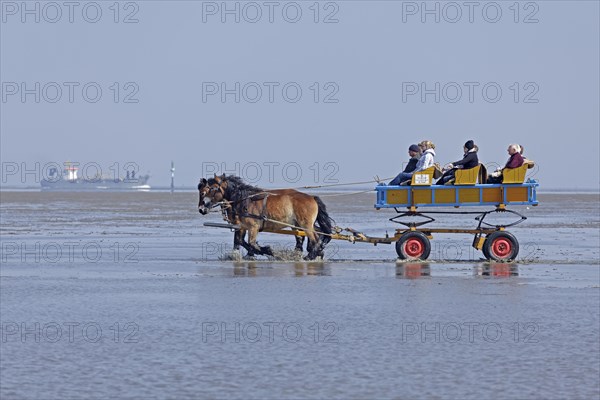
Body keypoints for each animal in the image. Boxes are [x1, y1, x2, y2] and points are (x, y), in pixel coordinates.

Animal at [199, 174, 336, 260]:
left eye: (211, 189)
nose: (201, 209)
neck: (244, 199)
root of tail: (311, 197)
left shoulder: (253, 227)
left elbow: (251, 243)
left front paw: (268, 251)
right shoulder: (242, 226)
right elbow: (239, 241)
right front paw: (246, 254)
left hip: (305, 224)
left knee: (315, 238)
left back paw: (310, 256)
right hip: (299, 224)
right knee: (314, 235)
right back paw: (316, 252)